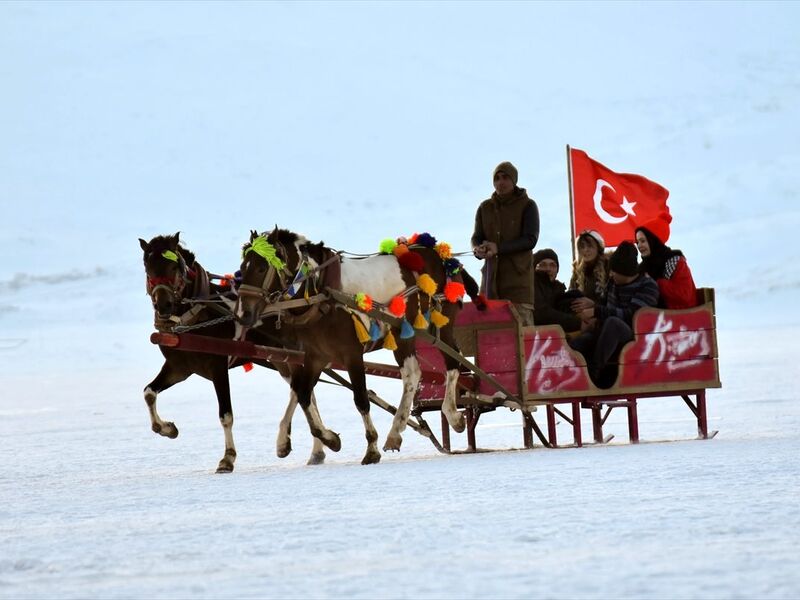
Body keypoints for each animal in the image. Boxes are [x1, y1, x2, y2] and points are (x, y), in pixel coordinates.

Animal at [139, 234, 332, 474]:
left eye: (174, 266)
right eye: (148, 268)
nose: (163, 305)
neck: (196, 317)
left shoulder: (218, 367)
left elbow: (226, 415)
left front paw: (227, 458)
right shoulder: (179, 368)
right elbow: (149, 392)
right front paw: (166, 428)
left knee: (302, 391)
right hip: (282, 360)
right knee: (305, 392)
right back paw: (316, 449)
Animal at [234, 229, 478, 464]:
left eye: (261, 268)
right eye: (242, 268)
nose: (243, 314)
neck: (324, 294)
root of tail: (441, 255)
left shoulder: (352, 354)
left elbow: (360, 399)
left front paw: (371, 448)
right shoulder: (316, 355)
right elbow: (303, 394)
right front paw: (330, 439)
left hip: (439, 324)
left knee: (450, 363)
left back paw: (451, 415)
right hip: (405, 333)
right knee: (413, 373)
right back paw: (397, 431)